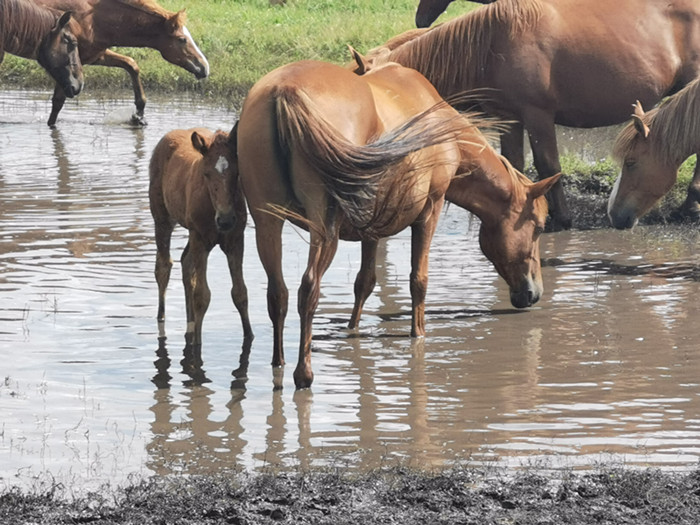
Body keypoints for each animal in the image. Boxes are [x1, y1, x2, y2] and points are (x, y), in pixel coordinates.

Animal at [35, 0, 209, 125]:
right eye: (182, 39)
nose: (205, 67)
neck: (93, 21)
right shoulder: (66, 67)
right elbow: (57, 104)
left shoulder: (96, 56)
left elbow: (131, 64)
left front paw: (139, 114)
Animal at [149, 124, 253, 352]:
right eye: (206, 173)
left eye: (237, 172)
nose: (225, 220)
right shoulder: (200, 239)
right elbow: (202, 296)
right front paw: (197, 343)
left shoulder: (235, 241)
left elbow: (240, 293)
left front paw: (249, 335)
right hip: (162, 219)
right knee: (163, 266)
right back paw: (161, 316)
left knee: (186, 263)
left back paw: (190, 320)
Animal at [237, 51, 556, 388]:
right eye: (538, 227)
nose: (534, 293)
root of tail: (285, 90)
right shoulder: (430, 210)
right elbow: (418, 281)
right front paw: (418, 336)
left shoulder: (372, 226)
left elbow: (364, 282)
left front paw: (353, 330)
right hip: (324, 229)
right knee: (308, 290)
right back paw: (303, 373)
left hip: (266, 222)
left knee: (278, 294)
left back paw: (279, 364)